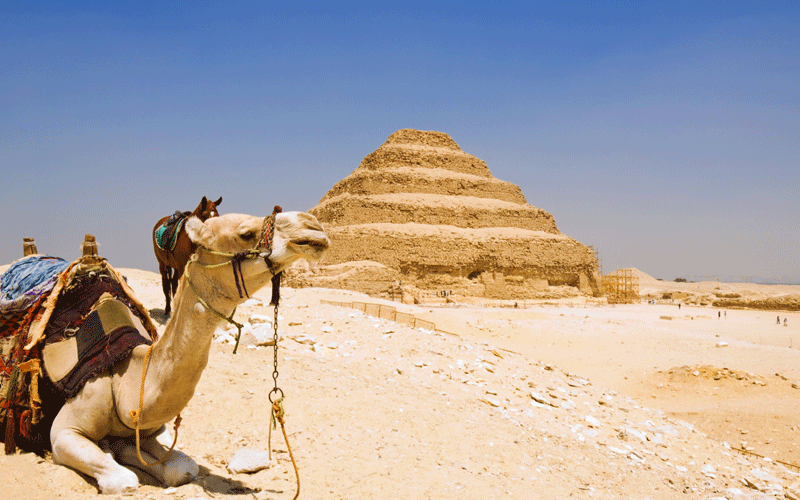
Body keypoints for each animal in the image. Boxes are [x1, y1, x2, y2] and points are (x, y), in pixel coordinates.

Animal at [39, 209, 328, 494]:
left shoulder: (150, 428)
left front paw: (123, 449)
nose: (313, 227)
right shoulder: (63, 433)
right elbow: (124, 481)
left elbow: (182, 467)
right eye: (246, 233)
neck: (124, 380)